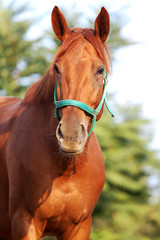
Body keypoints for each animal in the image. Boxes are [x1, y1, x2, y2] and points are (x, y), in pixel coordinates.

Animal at [0, 5, 111, 240]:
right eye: (57, 68)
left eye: (100, 70)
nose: (70, 135)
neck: (66, 171)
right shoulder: (25, 223)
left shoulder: (80, 228)